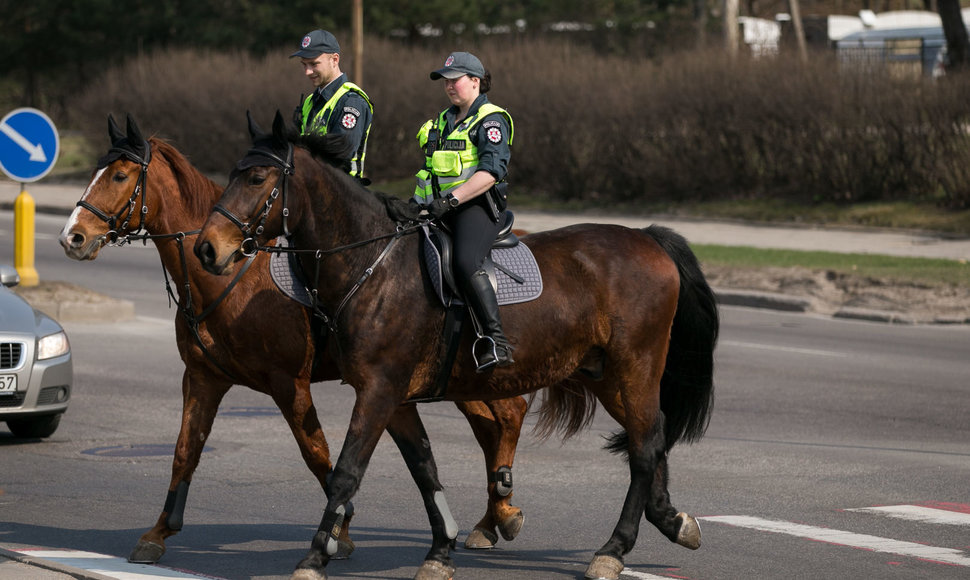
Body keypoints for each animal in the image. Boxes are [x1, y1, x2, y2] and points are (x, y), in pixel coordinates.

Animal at [55, 115, 528, 564]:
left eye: (119, 175)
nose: (71, 237)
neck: (231, 278)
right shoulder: (203, 378)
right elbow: (185, 451)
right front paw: (158, 533)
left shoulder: (288, 384)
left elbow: (316, 454)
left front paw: (340, 532)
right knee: (495, 422)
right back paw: (493, 518)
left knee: (508, 415)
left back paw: (501, 511)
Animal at [191, 110, 720, 580]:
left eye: (256, 177)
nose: (206, 249)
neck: (372, 263)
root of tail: (646, 238)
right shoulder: (397, 399)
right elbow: (424, 469)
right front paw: (440, 551)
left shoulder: (378, 391)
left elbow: (346, 472)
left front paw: (314, 558)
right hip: (606, 374)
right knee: (650, 436)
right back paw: (672, 521)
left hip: (635, 366)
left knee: (644, 448)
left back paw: (613, 549)